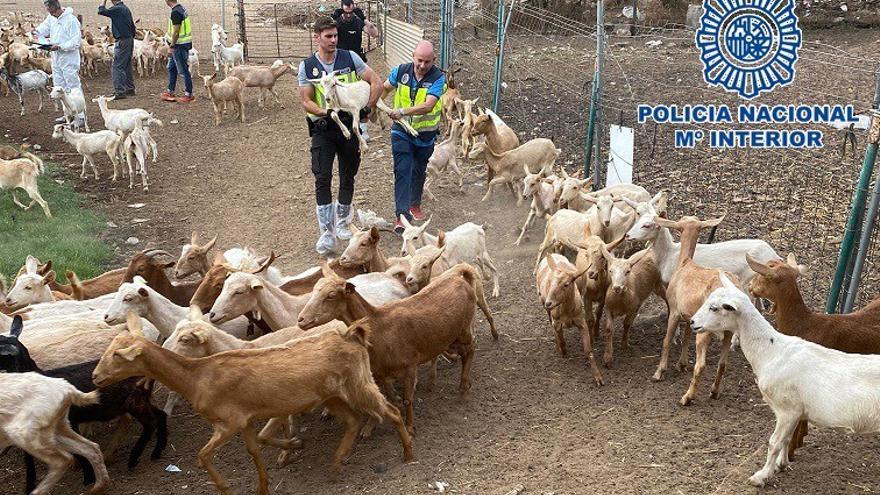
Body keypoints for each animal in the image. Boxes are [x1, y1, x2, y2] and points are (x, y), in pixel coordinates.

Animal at [696, 276, 880, 488]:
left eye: (714, 308)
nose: (692, 322)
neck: (772, 351)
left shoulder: (787, 409)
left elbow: (774, 442)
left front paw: (761, 476)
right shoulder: (795, 412)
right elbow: (785, 440)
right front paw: (781, 465)